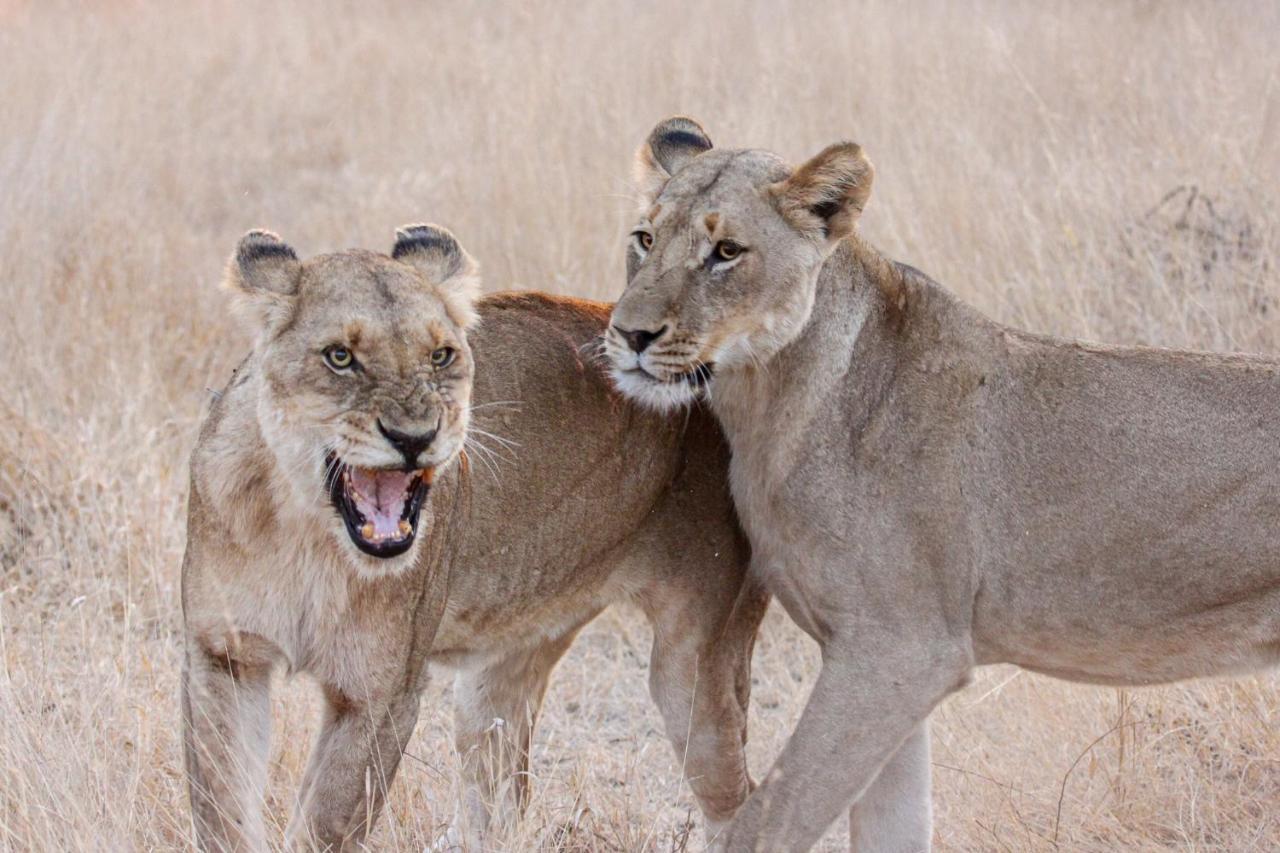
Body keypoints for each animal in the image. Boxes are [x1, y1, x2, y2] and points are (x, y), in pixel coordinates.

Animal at [180, 222, 768, 845]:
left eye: (441, 355)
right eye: (340, 357)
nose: (415, 437)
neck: (308, 532)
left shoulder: (381, 695)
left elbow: (326, 825)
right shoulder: (222, 658)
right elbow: (221, 808)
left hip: (697, 660)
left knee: (737, 795)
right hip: (506, 664)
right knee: (503, 799)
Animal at [604, 114, 1280, 850]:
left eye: (726, 251)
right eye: (644, 239)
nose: (629, 334)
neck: (771, 400)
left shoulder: (900, 650)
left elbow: (769, 819)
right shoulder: (882, 664)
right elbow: (890, 826)